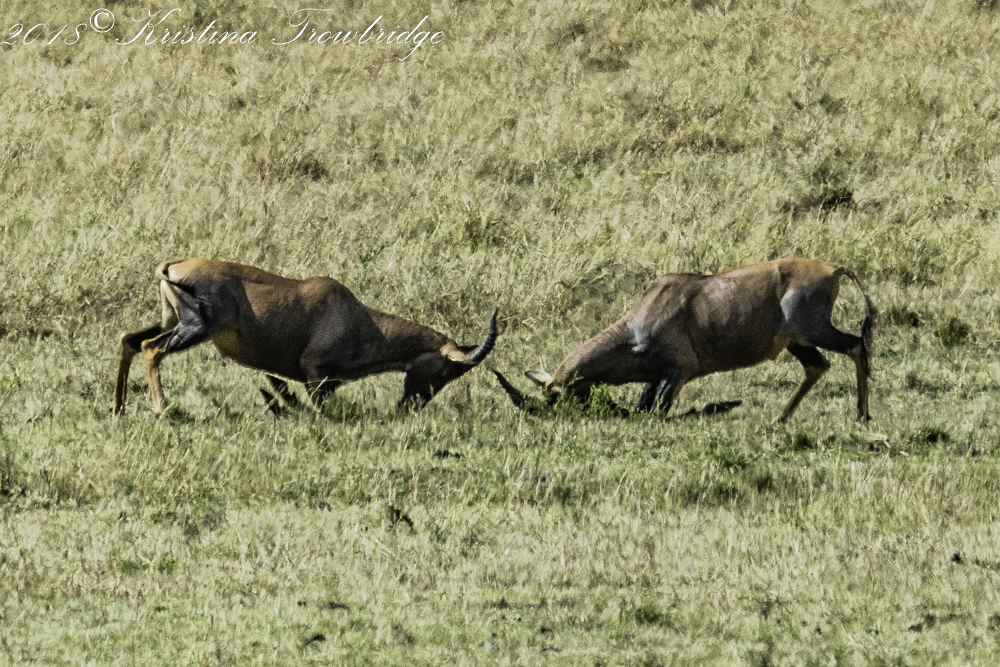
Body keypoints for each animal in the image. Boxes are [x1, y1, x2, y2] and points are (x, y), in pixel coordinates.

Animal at [113, 259, 498, 415]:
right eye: (447, 370)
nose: (412, 406)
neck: (355, 315)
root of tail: (173, 266)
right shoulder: (315, 373)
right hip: (193, 330)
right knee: (149, 349)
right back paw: (162, 408)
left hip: (169, 321)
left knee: (128, 340)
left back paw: (118, 408)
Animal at [494, 258, 873, 422]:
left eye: (555, 397)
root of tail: (832, 268)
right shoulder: (659, 375)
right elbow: (643, 409)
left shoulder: (679, 372)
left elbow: (655, 413)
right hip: (797, 341)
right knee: (818, 365)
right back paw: (779, 419)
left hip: (815, 331)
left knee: (856, 345)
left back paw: (861, 416)